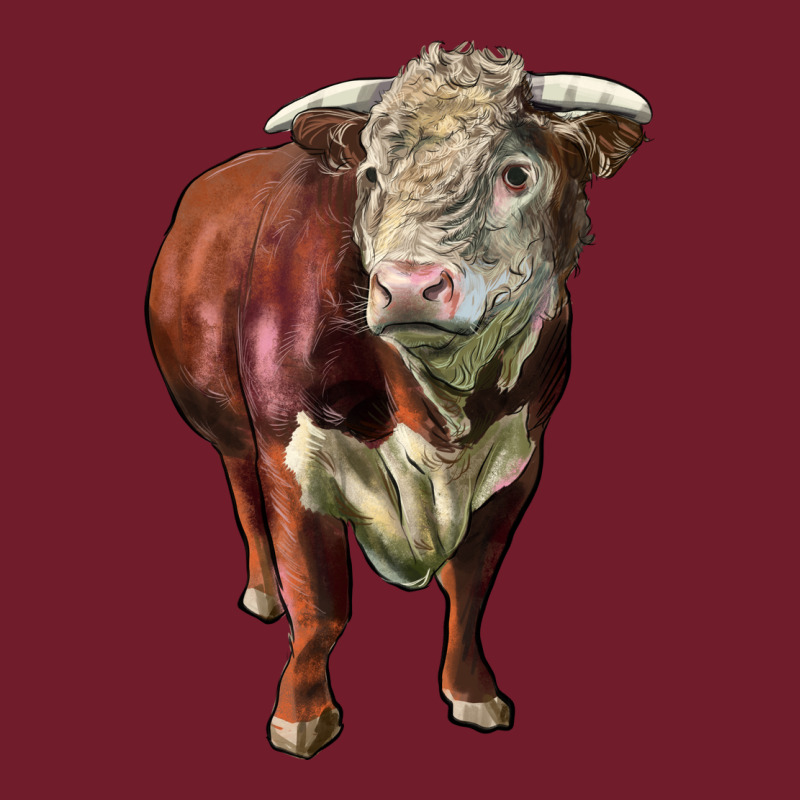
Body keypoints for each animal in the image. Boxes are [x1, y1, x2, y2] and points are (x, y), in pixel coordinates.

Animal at [146, 43, 649, 758]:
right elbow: (321, 605)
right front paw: (302, 715)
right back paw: (264, 593)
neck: (439, 425)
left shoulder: (519, 465)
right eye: (372, 173)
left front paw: (473, 694)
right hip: (226, 422)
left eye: (517, 173)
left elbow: (471, 590)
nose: (409, 286)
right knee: (244, 497)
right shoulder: (289, 454)